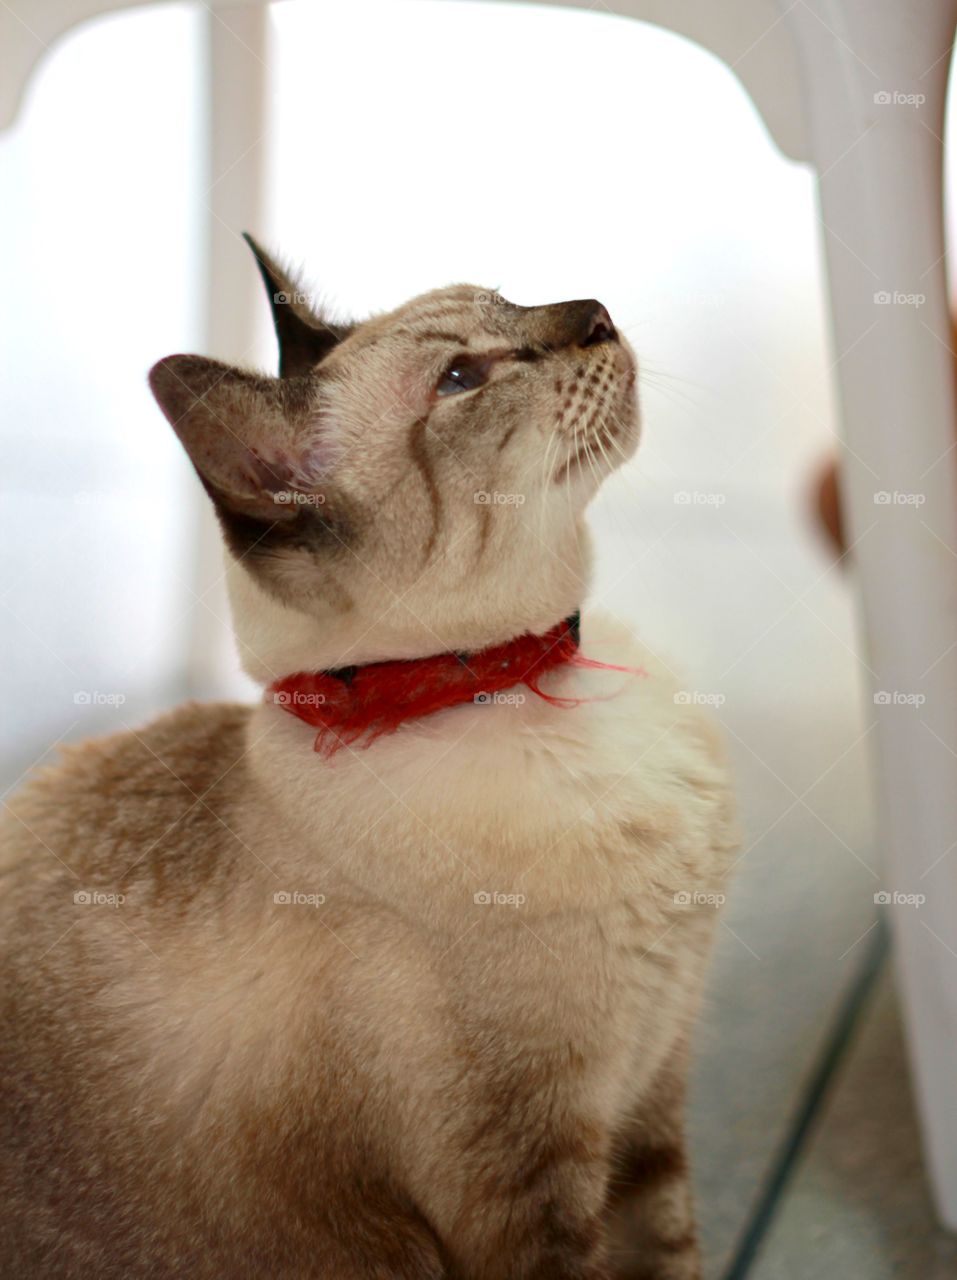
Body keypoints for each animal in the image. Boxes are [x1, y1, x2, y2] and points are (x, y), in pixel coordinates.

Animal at [0, 240, 736, 1280]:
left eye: (514, 299)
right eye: (461, 379)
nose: (594, 313)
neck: (525, 681)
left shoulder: (650, 1106)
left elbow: (674, 1254)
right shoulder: (526, 1186)